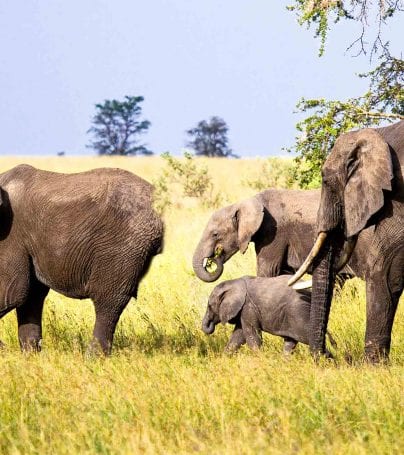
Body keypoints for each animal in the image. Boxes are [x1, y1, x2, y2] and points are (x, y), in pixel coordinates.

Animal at [0, 164, 164, 356]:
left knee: (108, 299)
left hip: (123, 245)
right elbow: (30, 295)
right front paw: (31, 356)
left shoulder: (11, 234)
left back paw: (93, 358)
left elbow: (13, 291)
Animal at [201, 274, 334, 356]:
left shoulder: (248, 307)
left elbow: (251, 336)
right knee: (290, 343)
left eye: (210, 306)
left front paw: (260, 359)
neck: (234, 282)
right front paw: (224, 358)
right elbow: (238, 336)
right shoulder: (243, 310)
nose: (209, 325)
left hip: (298, 313)